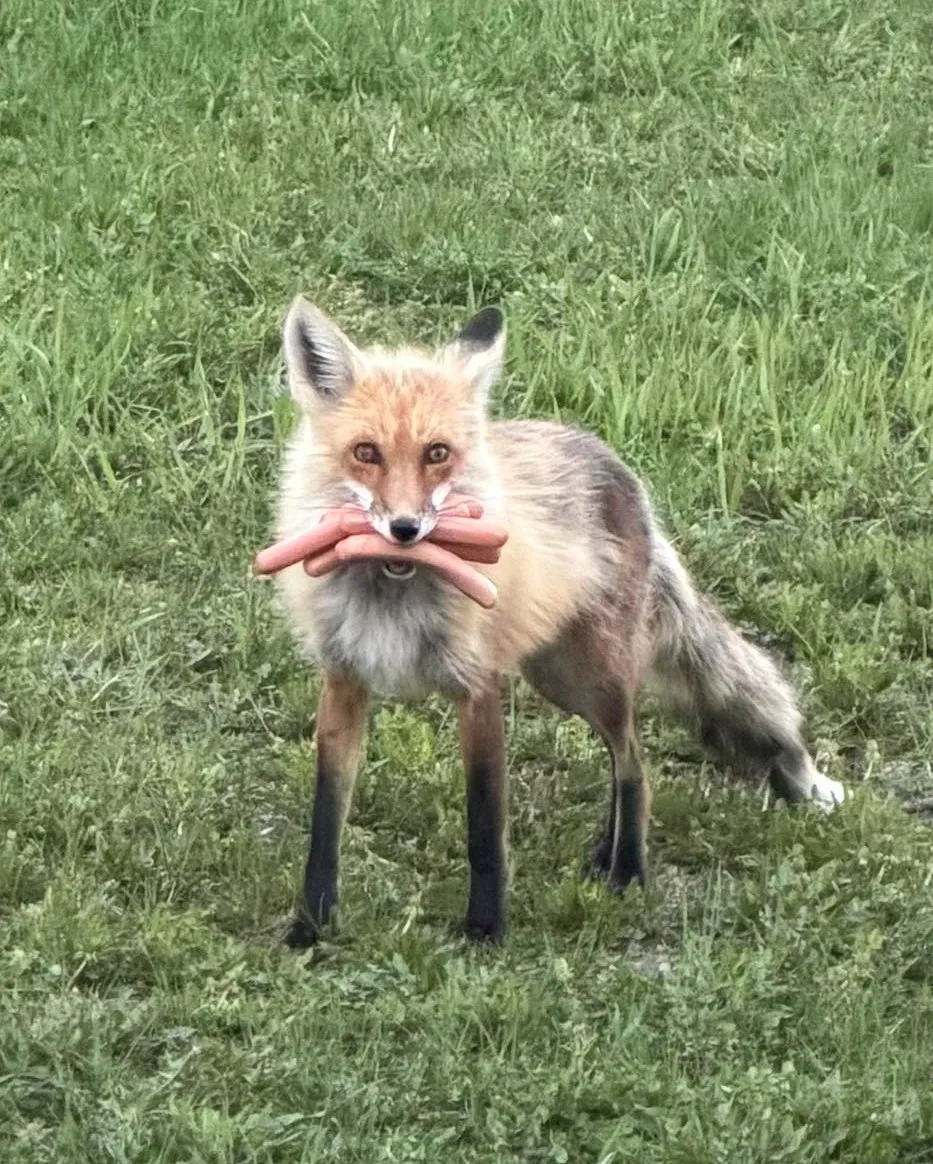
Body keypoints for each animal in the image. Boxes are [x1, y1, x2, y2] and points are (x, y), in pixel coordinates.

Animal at [268, 296, 845, 949]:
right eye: (366, 453)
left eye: (437, 453)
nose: (406, 529)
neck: (394, 588)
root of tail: (622, 470)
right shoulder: (344, 682)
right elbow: (325, 822)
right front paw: (310, 928)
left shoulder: (478, 687)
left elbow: (485, 825)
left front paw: (486, 930)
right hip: (557, 674)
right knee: (625, 758)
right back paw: (603, 855)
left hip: (591, 676)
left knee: (634, 763)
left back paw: (627, 871)